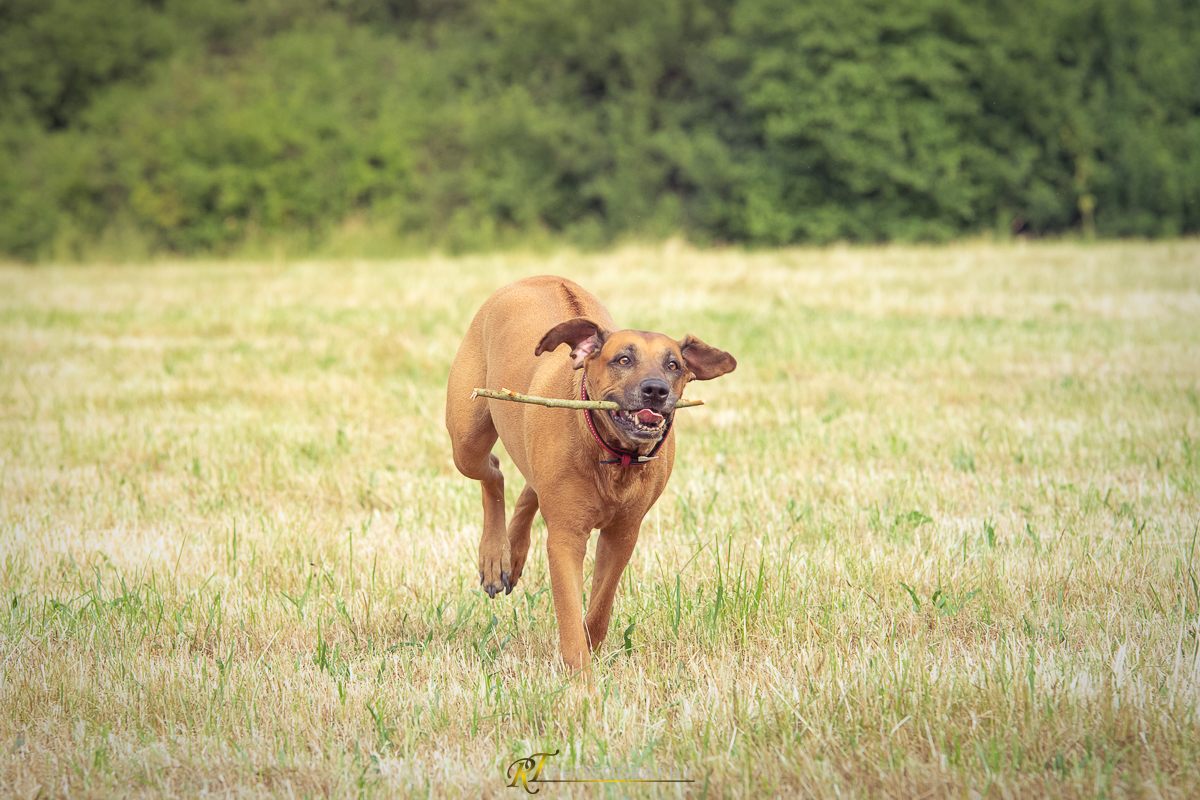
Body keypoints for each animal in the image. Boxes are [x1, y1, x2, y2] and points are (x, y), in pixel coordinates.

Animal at [446, 278, 734, 671]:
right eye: (623, 360)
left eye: (674, 365)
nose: (656, 390)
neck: (615, 458)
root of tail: (533, 278)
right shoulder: (566, 538)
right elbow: (569, 613)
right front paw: (581, 679)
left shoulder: (623, 534)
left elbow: (600, 605)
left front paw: (591, 644)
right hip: (467, 439)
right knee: (493, 472)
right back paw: (495, 557)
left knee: (528, 486)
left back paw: (513, 552)